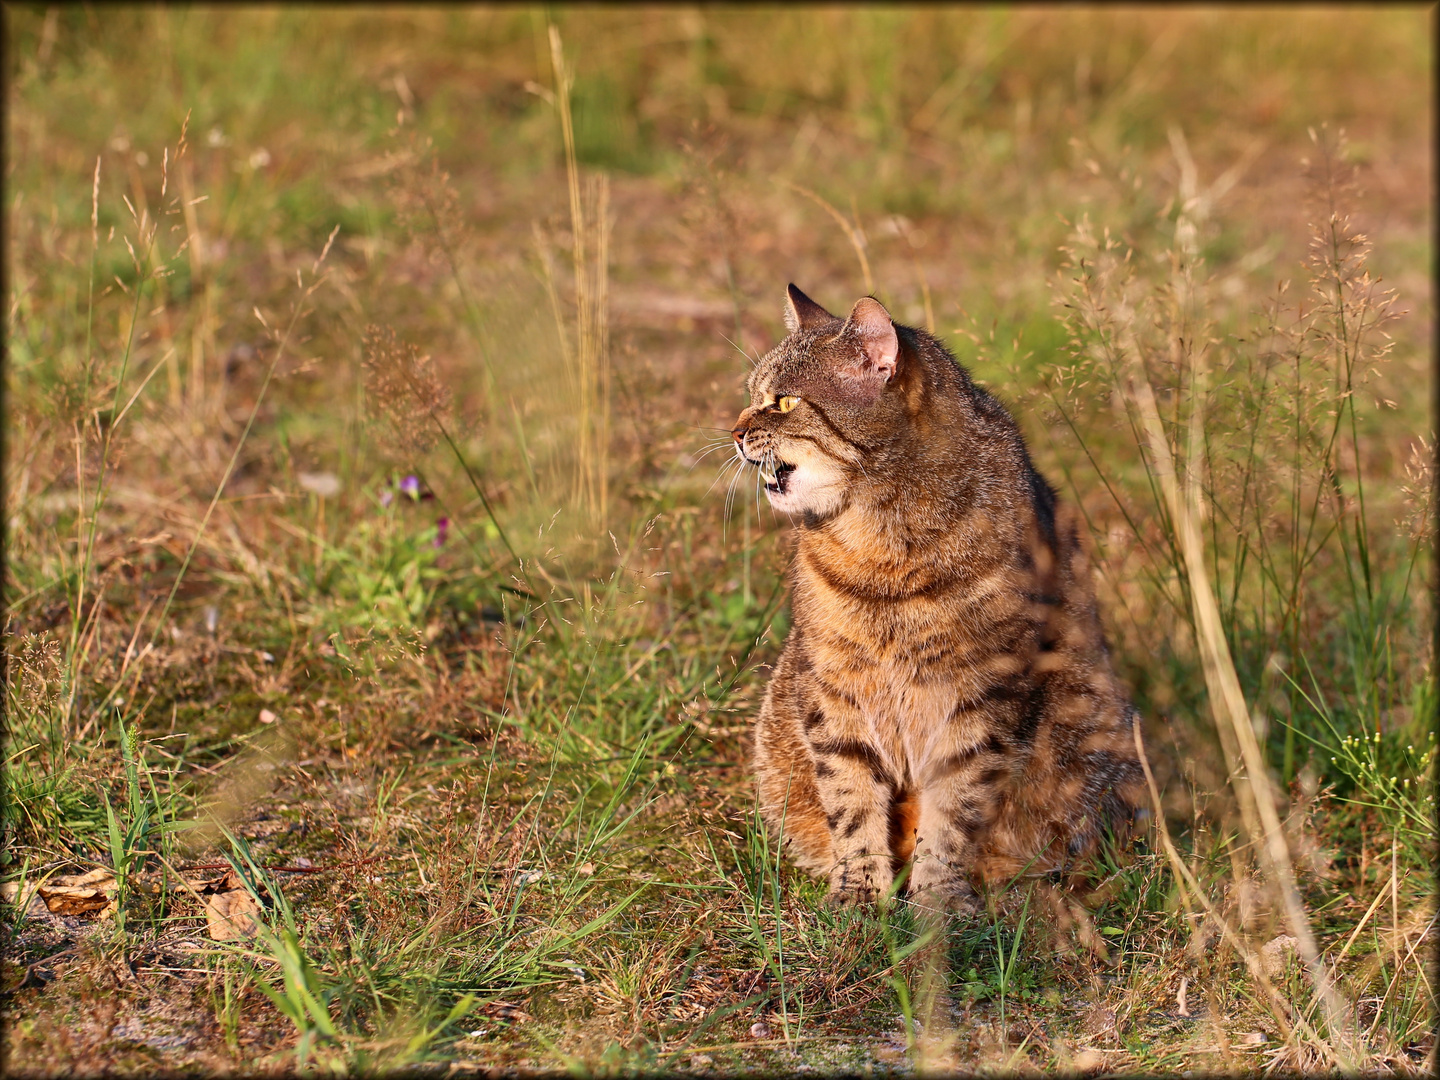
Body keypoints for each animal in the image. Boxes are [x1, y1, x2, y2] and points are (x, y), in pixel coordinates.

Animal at [731, 283, 1146, 910]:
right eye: (754, 397)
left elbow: (953, 811)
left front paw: (938, 902)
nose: (733, 432)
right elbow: (850, 800)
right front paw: (859, 895)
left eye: (782, 402)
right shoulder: (832, 684)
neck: (880, 543)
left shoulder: (984, 693)